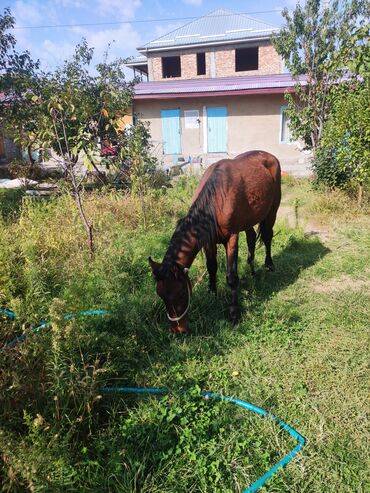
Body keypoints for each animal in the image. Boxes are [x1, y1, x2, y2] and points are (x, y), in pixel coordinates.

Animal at [147, 151, 280, 334]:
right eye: (161, 295)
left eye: (181, 293)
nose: (178, 330)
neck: (216, 198)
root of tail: (269, 156)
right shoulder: (208, 241)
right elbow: (211, 267)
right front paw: (211, 293)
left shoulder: (232, 238)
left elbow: (231, 276)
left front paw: (234, 313)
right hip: (249, 220)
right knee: (252, 238)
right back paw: (251, 269)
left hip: (273, 209)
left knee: (267, 236)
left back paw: (269, 265)